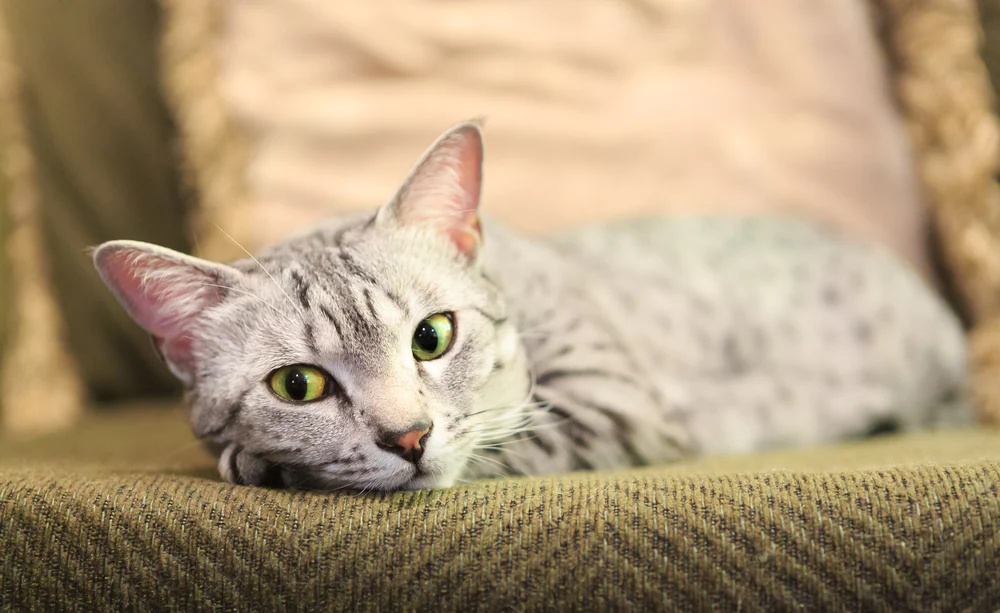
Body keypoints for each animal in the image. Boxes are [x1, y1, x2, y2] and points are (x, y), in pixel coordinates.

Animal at [92, 120, 968, 492]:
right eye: (298, 385)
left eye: (432, 336)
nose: (406, 436)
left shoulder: (619, 398)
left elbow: (511, 435)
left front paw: (270, 465)